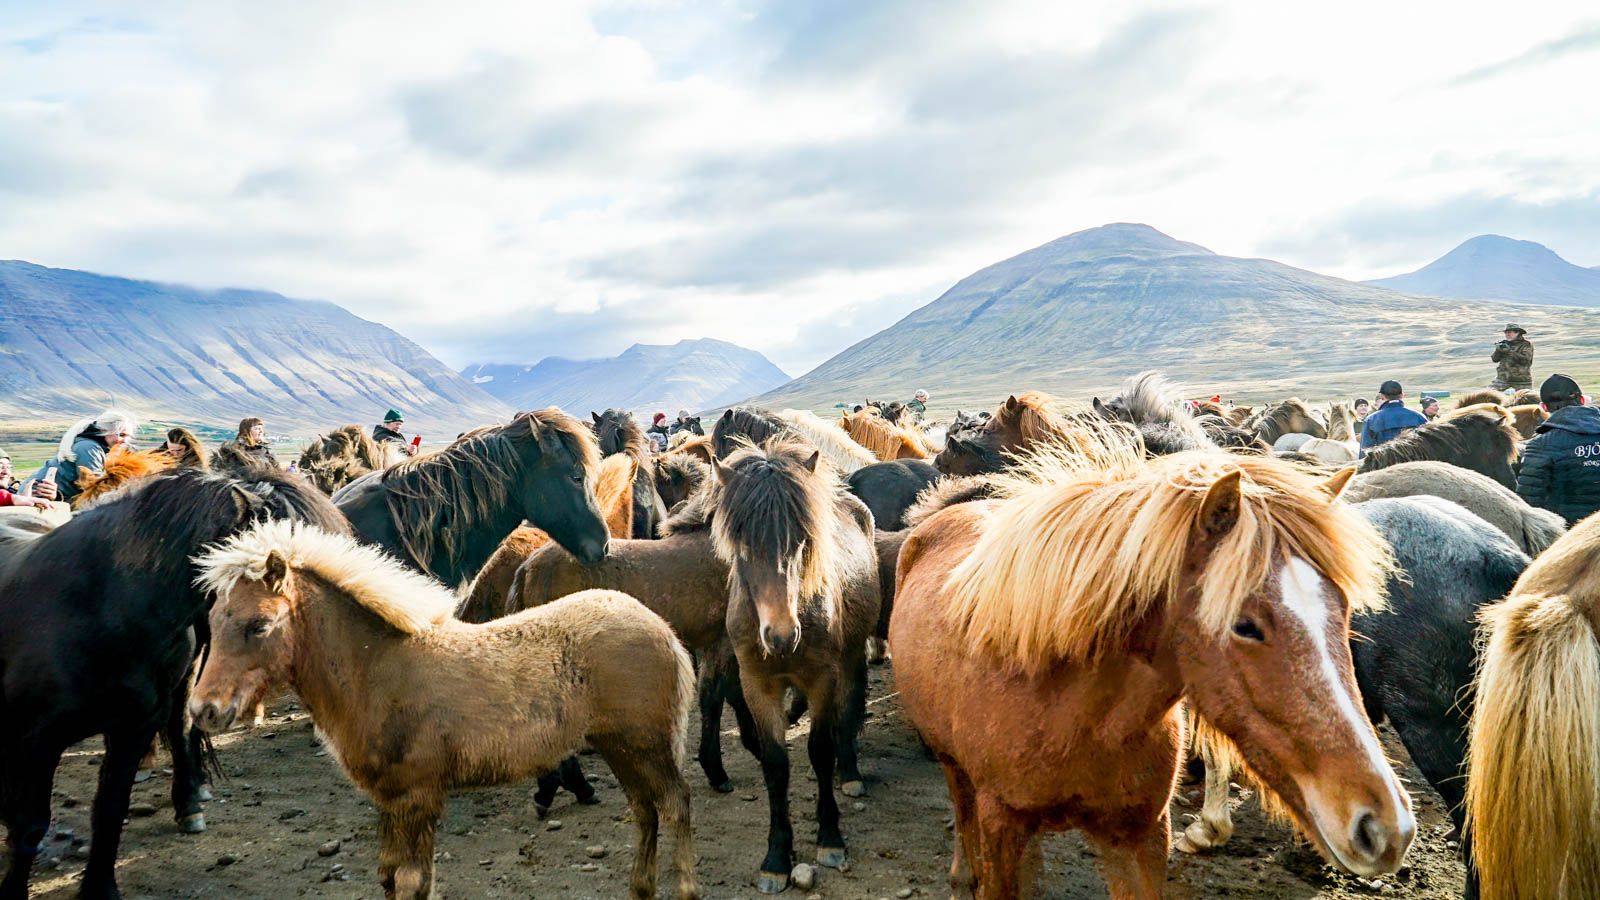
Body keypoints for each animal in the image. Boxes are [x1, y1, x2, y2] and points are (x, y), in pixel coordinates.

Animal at [0, 468, 346, 900]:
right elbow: (30, 823)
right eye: (278, 569)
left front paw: (100, 888)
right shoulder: (40, 738)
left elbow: (110, 808)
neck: (102, 606)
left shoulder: (133, 727)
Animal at [189, 521, 699, 900]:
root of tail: (660, 628)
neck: (377, 668)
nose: (203, 710)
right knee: (644, 808)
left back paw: (684, 888)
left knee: (675, 802)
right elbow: (389, 878)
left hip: (646, 744)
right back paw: (640, 888)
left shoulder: (419, 797)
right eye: (210, 622)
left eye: (260, 625)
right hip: (620, 746)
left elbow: (413, 883)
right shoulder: (390, 800)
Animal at [711, 439, 880, 893]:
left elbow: (820, 750)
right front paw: (776, 857)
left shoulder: (823, 678)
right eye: (742, 544)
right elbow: (775, 764)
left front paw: (830, 838)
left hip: (851, 658)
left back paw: (850, 773)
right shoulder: (757, 685)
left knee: (849, 708)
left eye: (803, 540)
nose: (782, 636)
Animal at [891, 444, 1413, 898]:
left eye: (1343, 607)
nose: (1386, 827)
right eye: (1245, 625)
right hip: (951, 763)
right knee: (961, 808)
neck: (1069, 711)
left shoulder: (1141, 837)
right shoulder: (1001, 826)